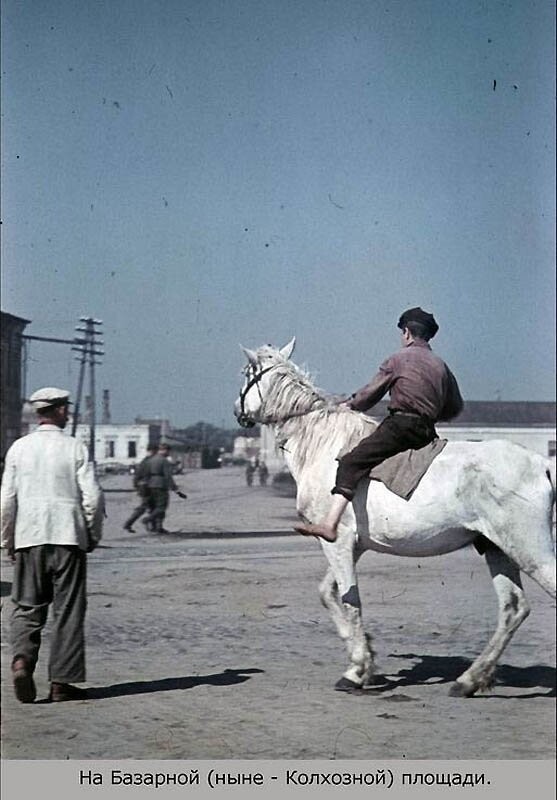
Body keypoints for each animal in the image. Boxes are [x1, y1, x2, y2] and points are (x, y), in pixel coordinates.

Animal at [235, 336, 556, 692]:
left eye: (246, 373)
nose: (237, 412)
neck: (323, 445)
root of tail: (542, 464)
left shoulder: (336, 543)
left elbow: (350, 599)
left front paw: (357, 669)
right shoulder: (352, 546)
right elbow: (328, 593)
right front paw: (366, 656)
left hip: (529, 551)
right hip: (496, 549)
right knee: (513, 608)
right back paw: (470, 679)